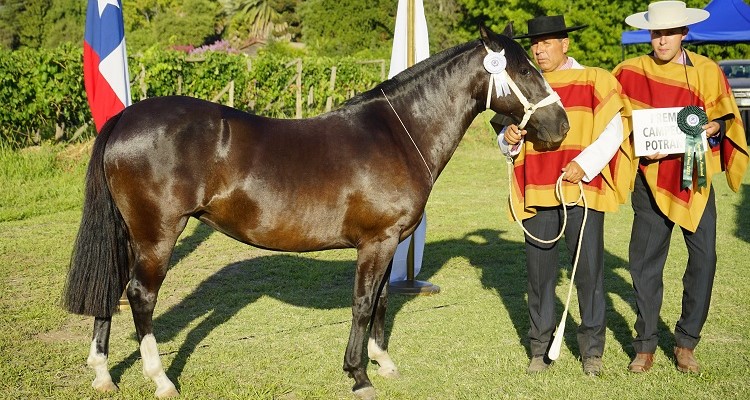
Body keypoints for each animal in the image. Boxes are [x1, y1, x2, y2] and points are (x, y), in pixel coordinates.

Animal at [64, 24, 568, 396]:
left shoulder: (388, 244)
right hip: (157, 235)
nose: (560, 126)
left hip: (131, 234)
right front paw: (359, 376)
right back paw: (161, 380)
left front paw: (383, 363)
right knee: (140, 296)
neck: (399, 133)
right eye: (524, 72)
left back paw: (104, 375)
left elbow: (382, 301)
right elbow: (362, 304)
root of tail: (125, 118)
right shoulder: (377, 242)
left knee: (111, 288)